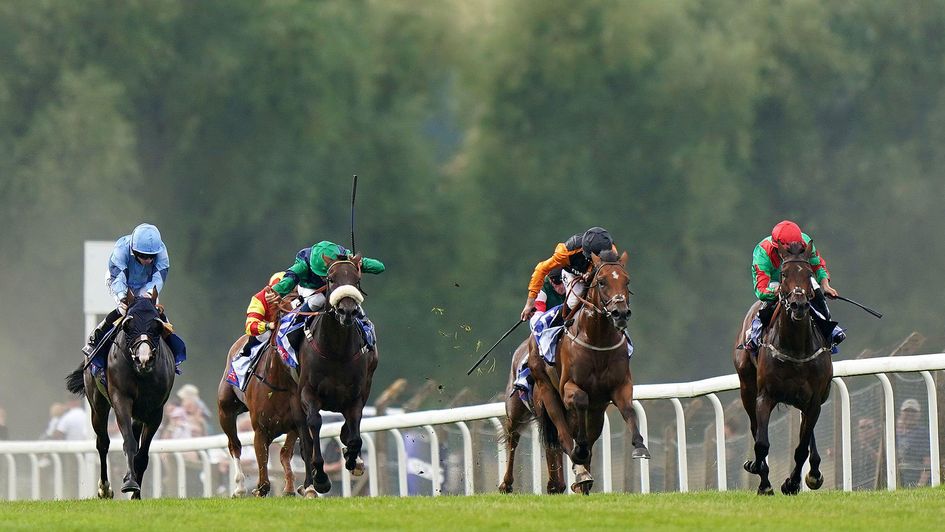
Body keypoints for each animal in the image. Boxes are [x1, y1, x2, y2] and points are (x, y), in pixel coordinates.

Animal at [65, 290, 174, 498]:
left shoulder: (156, 410)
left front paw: (136, 493)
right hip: (97, 405)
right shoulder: (121, 399)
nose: (143, 359)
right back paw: (105, 488)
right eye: (128, 325)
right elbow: (129, 442)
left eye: (157, 325)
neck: (141, 374)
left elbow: (142, 454)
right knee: (102, 442)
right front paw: (130, 483)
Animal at [217, 334, 298, 496]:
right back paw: (240, 488)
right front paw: (260, 489)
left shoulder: (295, 425)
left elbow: (285, 453)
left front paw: (290, 488)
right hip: (225, 411)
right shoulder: (260, 429)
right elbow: (262, 458)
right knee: (234, 445)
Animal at [296, 256, 376, 496]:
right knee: (305, 438)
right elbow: (314, 423)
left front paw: (353, 459)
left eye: (357, 280)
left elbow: (355, 432)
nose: (347, 311)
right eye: (330, 279)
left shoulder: (355, 395)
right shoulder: (307, 393)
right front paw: (321, 478)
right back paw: (309, 484)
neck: (336, 351)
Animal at [502, 249, 648, 494]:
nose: (620, 313)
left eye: (627, 281)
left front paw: (639, 445)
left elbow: (628, 409)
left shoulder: (618, 387)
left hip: (594, 412)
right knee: (525, 436)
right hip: (534, 399)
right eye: (602, 281)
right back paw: (509, 483)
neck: (597, 339)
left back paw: (579, 480)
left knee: (581, 438)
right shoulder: (568, 388)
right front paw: (578, 457)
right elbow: (579, 402)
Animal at [732, 243, 828, 496]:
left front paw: (792, 483)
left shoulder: (814, 399)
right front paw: (764, 482)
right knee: (755, 427)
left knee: (807, 434)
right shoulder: (765, 396)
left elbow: (802, 447)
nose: (799, 305)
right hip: (746, 387)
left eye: (809, 273)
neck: (795, 348)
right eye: (784, 274)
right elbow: (761, 443)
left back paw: (814, 473)